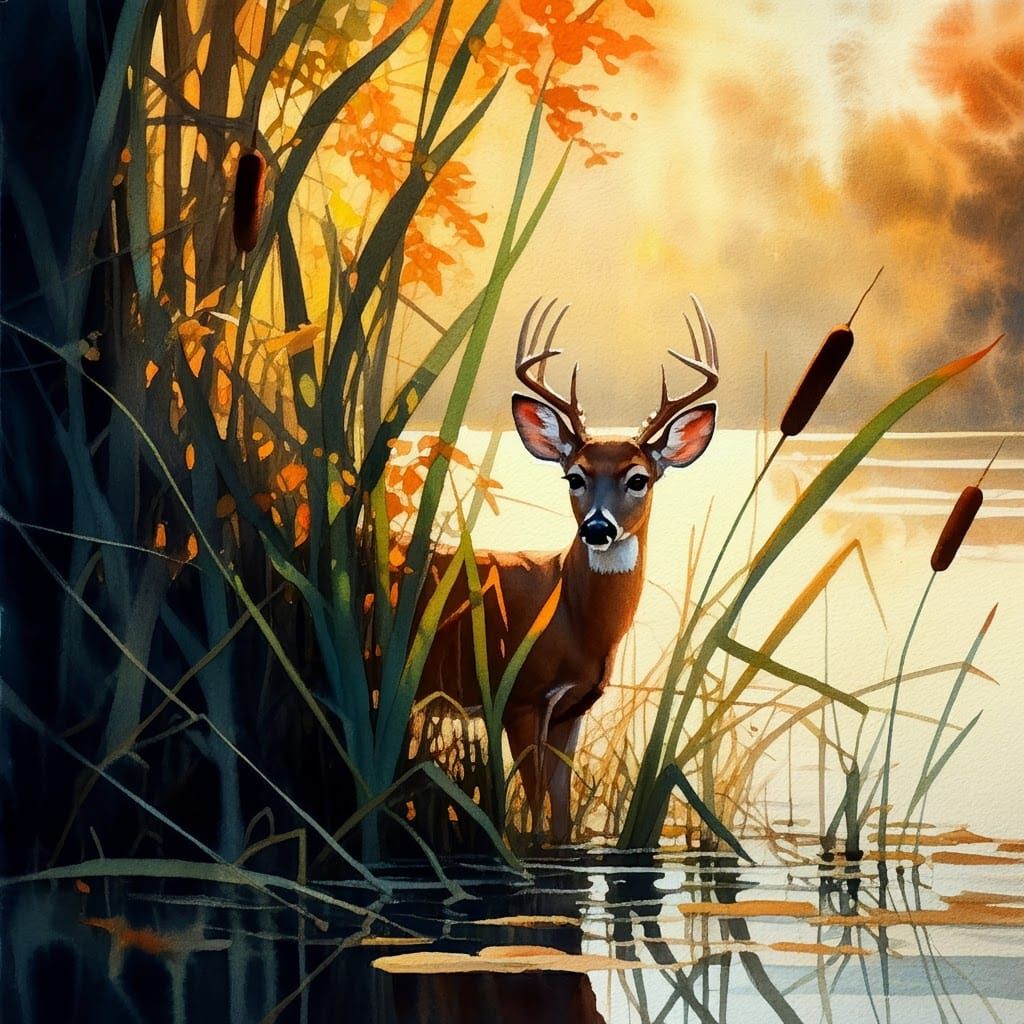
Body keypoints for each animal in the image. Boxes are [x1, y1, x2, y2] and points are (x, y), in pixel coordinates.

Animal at [413, 296, 719, 843]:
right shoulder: (520, 694)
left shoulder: (572, 707)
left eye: (639, 478)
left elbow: (561, 813)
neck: (574, 618)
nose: (597, 528)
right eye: (574, 476)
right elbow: (533, 812)